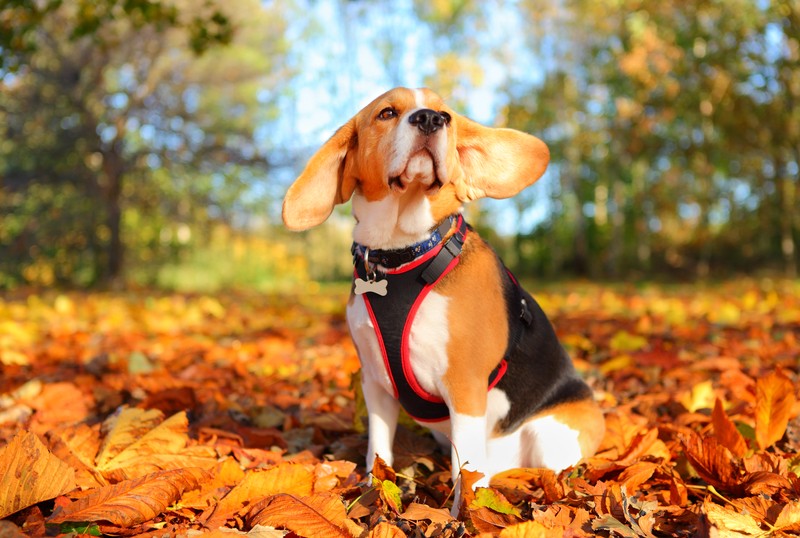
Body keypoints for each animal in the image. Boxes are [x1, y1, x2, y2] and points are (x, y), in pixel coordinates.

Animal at [284, 87, 604, 494]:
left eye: (446, 116)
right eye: (386, 113)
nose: (429, 119)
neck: (404, 255)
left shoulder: (464, 386)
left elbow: (464, 474)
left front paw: (464, 507)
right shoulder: (375, 383)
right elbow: (378, 451)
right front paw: (374, 492)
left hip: (549, 437)